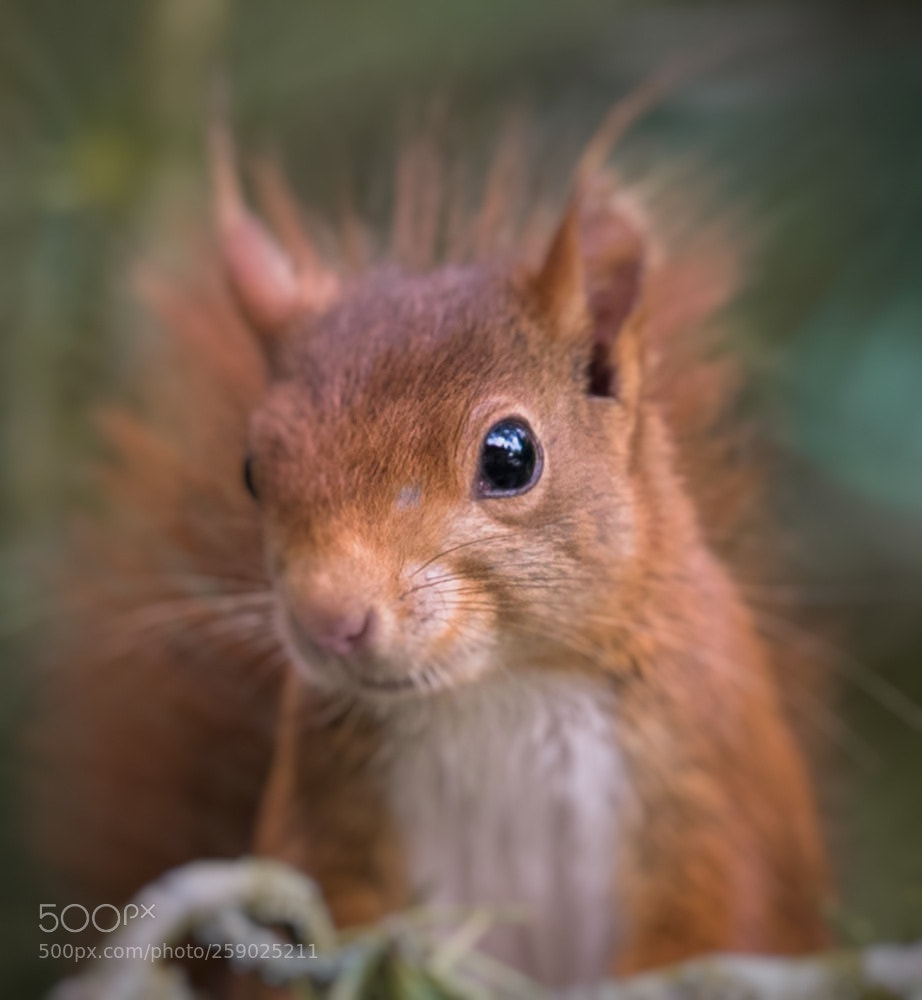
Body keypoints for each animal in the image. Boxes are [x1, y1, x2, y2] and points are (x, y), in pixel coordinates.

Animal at [30, 91, 831, 992]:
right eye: (250, 469)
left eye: (511, 455)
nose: (329, 621)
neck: (497, 691)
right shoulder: (325, 826)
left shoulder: (711, 798)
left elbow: (715, 933)